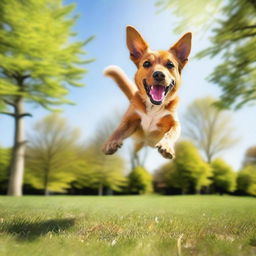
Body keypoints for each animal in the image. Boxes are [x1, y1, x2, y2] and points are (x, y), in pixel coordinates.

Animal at [101, 25, 191, 158]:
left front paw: (166, 145)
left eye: (170, 65)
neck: (153, 107)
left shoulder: (174, 122)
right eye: (146, 63)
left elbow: (172, 132)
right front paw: (110, 142)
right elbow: (118, 130)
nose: (159, 74)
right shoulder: (130, 121)